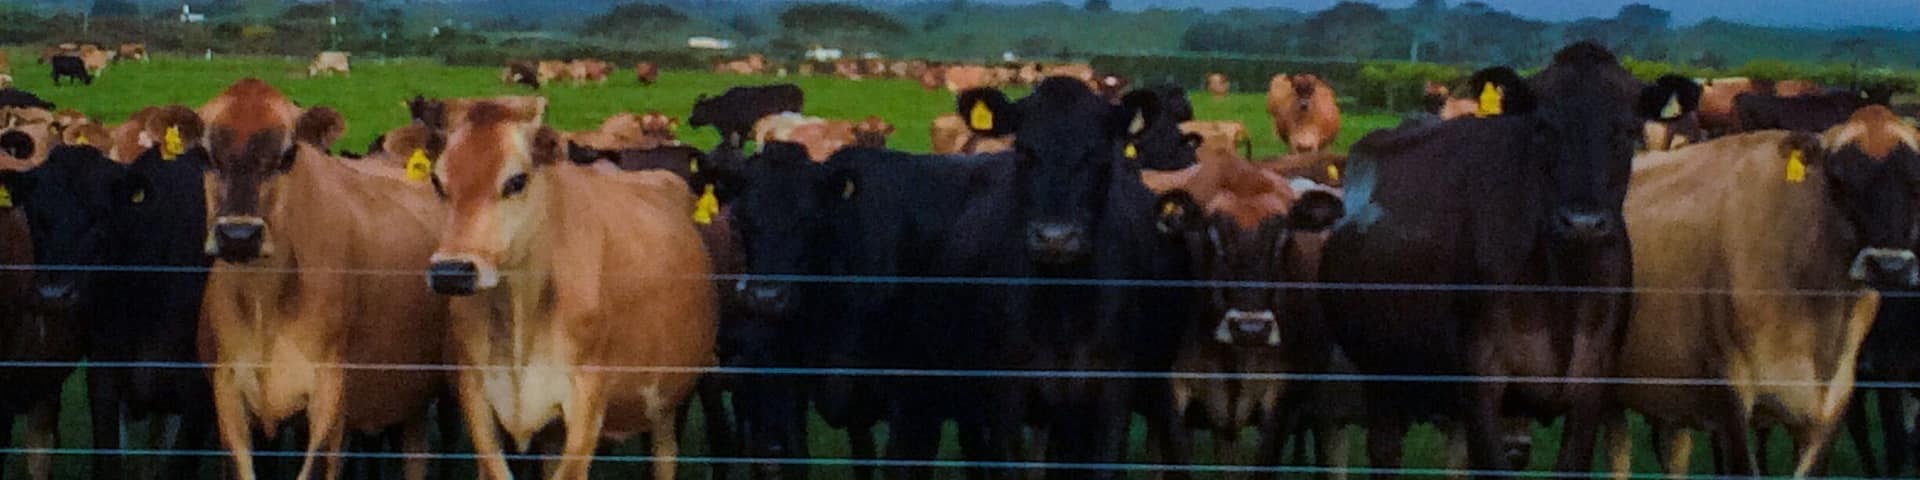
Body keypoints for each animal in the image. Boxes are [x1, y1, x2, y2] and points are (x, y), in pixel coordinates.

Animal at [189, 78, 446, 480]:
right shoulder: (226, 390)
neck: (266, 303)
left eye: (288, 155)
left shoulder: (329, 394)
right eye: (204, 155)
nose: (239, 236)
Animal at [419, 96, 716, 480]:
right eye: (437, 181)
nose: (451, 272)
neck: (519, 315)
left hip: (666, 405)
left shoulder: (588, 401)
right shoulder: (476, 397)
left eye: (516, 180)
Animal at [1317, 42, 1696, 476]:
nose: (1583, 222)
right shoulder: (1481, 382)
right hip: (1379, 369)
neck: (1562, 286)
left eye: (1628, 131)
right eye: (1543, 127)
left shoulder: (1593, 383)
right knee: (1385, 448)